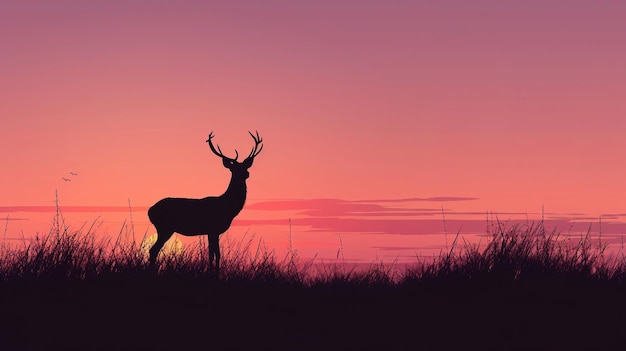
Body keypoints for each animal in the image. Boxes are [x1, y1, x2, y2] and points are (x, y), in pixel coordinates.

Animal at [147, 130, 262, 276]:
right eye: (233, 169)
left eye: (244, 167)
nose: (246, 174)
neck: (228, 207)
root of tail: (150, 211)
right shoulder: (213, 228)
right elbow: (214, 254)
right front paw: (214, 274)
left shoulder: (212, 232)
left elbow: (214, 254)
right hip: (164, 227)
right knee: (153, 250)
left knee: (154, 250)